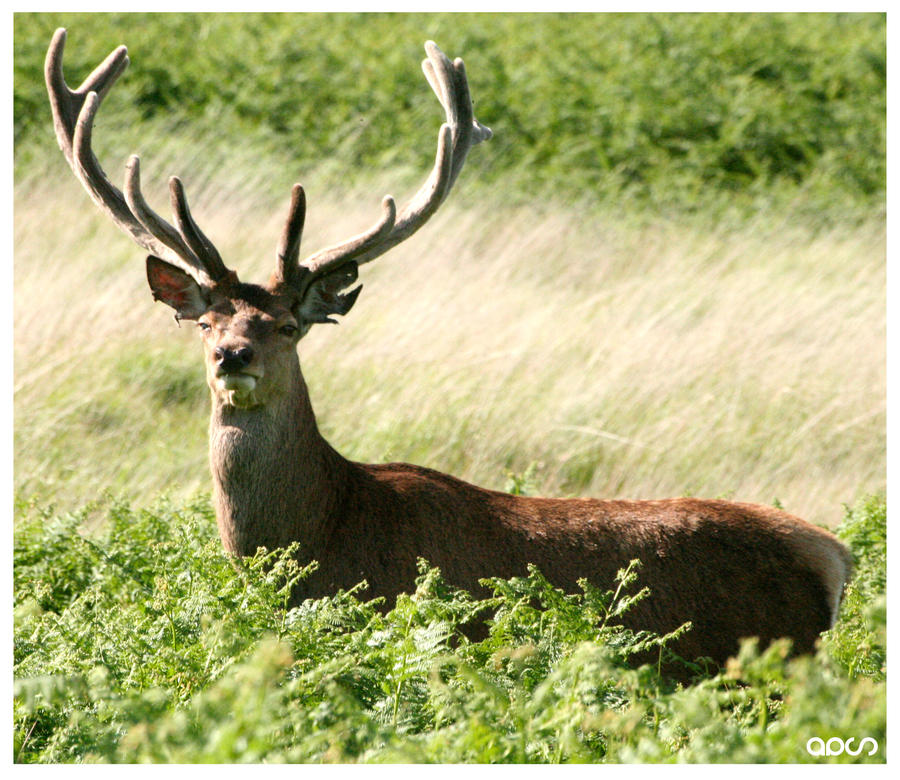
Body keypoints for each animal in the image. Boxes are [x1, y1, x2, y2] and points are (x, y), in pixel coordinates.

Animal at [45, 28, 852, 671]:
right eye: (207, 322)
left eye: (287, 326)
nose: (233, 358)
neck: (323, 536)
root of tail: (834, 554)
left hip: (766, 656)